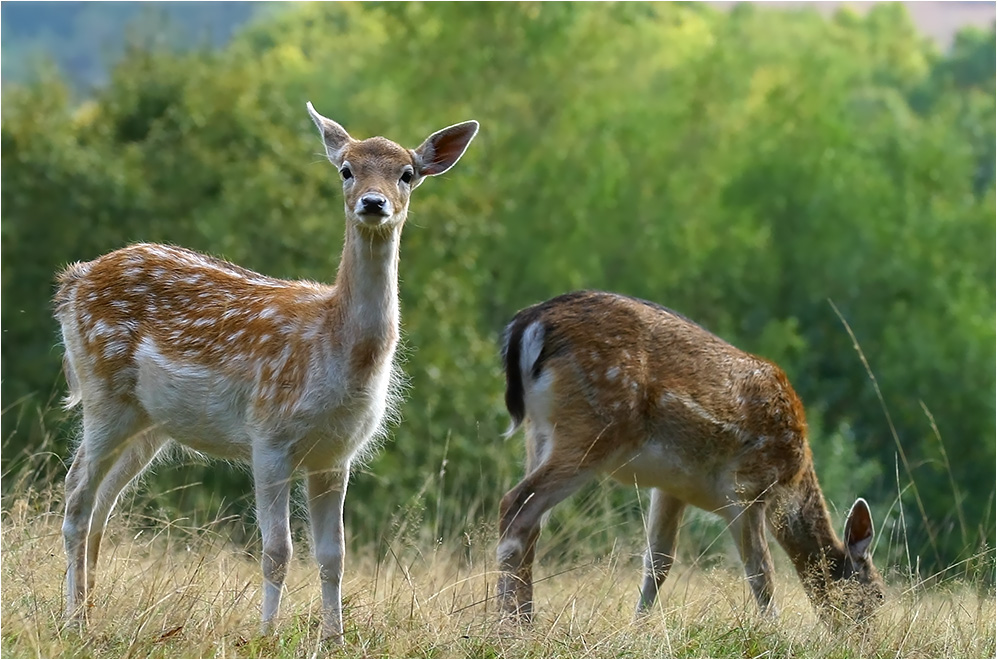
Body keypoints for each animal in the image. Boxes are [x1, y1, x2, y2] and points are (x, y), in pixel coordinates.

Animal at [54, 103, 478, 640]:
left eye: (407, 173)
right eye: (347, 170)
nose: (373, 202)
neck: (338, 351)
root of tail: (72, 281)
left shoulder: (335, 455)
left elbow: (333, 556)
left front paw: (333, 639)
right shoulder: (269, 435)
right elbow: (278, 551)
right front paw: (267, 635)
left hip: (149, 424)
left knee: (102, 505)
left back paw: (89, 615)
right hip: (103, 393)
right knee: (75, 496)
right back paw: (73, 621)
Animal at [498, 292, 888, 624]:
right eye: (878, 596)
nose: (863, 642)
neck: (791, 481)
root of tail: (528, 323)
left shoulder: (672, 486)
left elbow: (658, 562)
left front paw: (638, 629)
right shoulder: (747, 487)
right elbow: (761, 571)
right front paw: (774, 633)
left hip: (539, 432)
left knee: (531, 523)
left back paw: (523, 618)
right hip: (592, 427)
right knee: (514, 504)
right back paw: (513, 625)